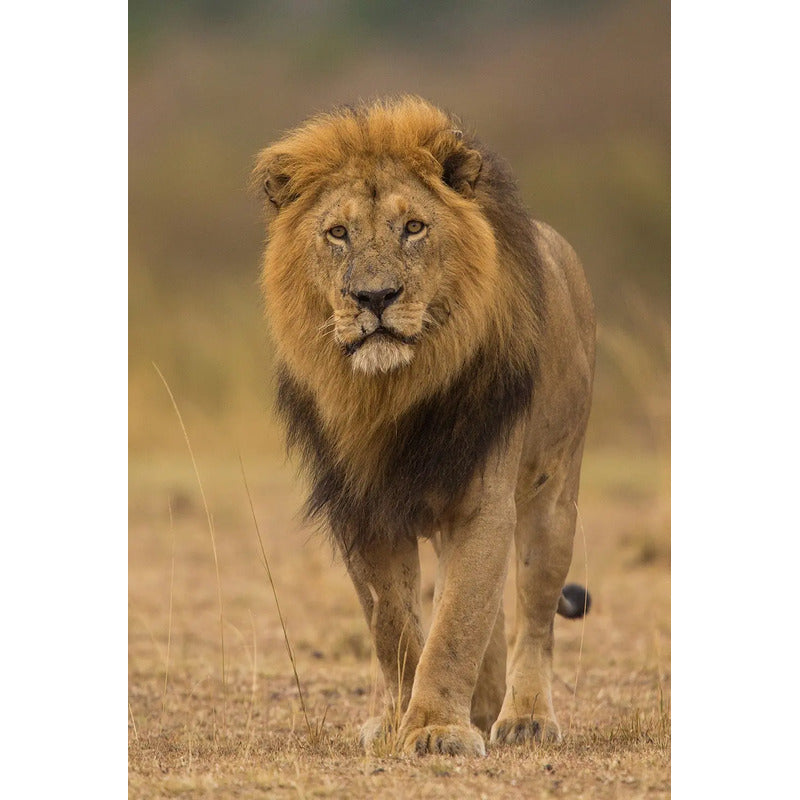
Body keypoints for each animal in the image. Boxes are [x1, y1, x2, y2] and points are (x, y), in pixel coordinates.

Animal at [252, 97, 595, 756]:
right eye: (338, 233)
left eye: (413, 228)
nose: (374, 297)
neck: (391, 395)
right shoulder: (361, 505)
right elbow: (394, 624)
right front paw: (403, 719)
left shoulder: (483, 500)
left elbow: (458, 623)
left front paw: (437, 729)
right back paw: (473, 708)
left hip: (553, 496)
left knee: (534, 616)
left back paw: (525, 717)